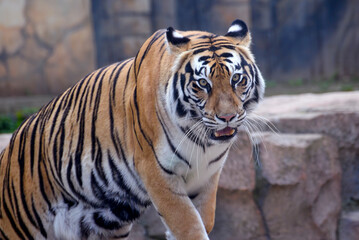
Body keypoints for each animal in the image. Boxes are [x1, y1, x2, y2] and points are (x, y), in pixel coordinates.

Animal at [0, 19, 264, 239]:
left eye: (237, 79)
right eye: (202, 83)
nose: (227, 117)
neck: (203, 142)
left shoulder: (207, 177)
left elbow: (204, 220)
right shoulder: (158, 174)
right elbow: (188, 225)